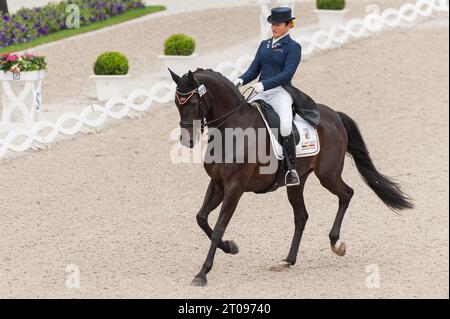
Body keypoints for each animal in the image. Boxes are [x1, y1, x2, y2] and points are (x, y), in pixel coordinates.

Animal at [170, 68, 414, 288]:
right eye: (177, 104)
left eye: (193, 103)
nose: (187, 140)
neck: (232, 130)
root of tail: (334, 115)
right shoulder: (218, 184)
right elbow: (201, 218)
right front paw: (230, 247)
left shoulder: (235, 187)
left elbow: (219, 227)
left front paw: (202, 273)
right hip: (296, 182)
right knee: (301, 216)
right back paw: (288, 260)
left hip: (328, 175)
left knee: (347, 194)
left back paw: (336, 243)